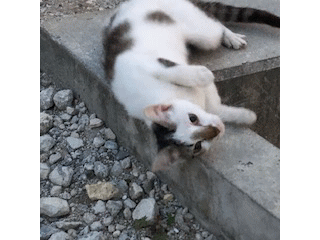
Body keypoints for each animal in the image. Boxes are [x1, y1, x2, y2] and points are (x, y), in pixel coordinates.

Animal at [102, 0, 278, 157]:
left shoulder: (145, 63)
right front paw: (244, 115)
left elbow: (178, 72)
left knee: (215, 27)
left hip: (200, 31)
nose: (217, 130)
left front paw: (204, 75)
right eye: (197, 145)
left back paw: (230, 36)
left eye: (192, 118)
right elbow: (216, 108)